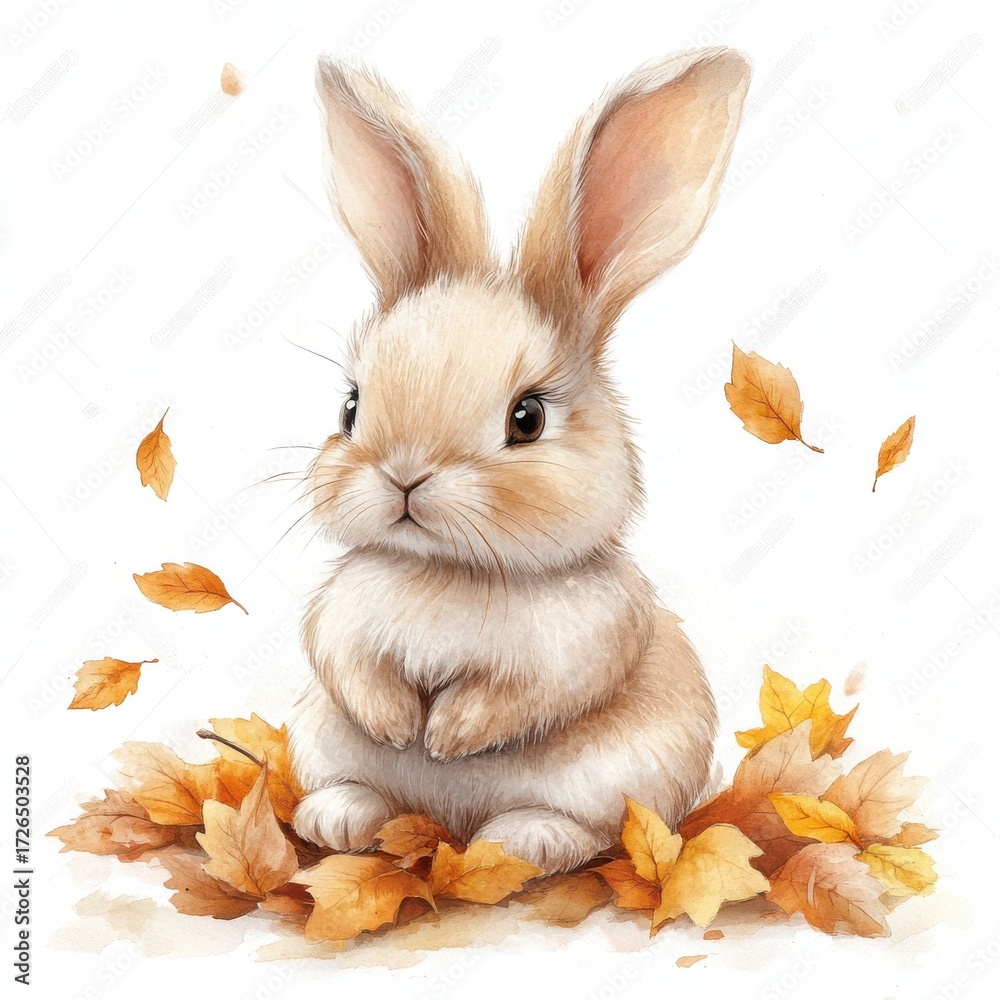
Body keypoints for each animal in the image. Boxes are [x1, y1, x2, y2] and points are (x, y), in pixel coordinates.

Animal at [288, 47, 751, 874]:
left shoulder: (578, 647)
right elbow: (353, 669)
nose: (404, 476)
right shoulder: (339, 625)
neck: (448, 571)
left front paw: (446, 736)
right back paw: (339, 818)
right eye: (350, 406)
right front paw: (399, 726)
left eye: (527, 418)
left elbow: (522, 698)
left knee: (589, 831)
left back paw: (523, 840)